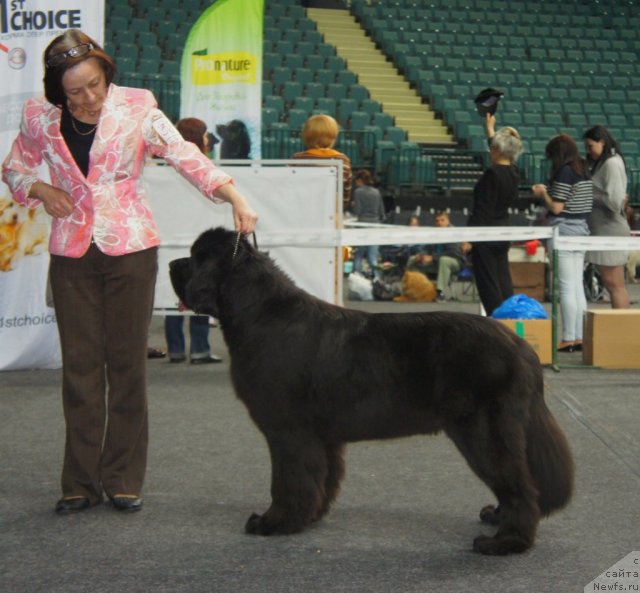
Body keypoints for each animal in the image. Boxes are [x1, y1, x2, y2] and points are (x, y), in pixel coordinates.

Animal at [170, 227, 576, 556]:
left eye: (196, 258)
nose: (173, 263)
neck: (258, 311)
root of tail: (521, 347)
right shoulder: (321, 437)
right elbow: (321, 479)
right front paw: (310, 516)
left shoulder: (288, 432)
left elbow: (287, 481)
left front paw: (274, 522)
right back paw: (497, 518)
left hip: (482, 431)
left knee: (519, 486)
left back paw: (505, 542)